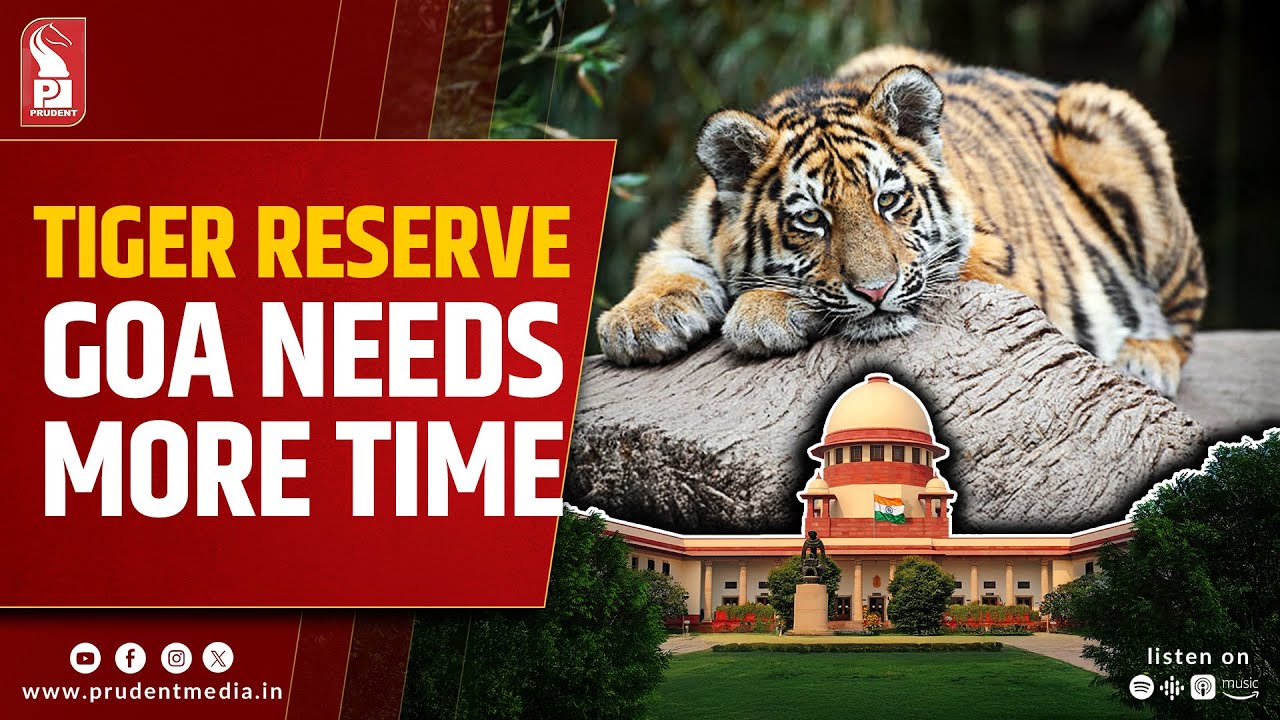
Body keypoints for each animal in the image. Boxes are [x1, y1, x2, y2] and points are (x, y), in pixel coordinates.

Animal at [596, 45, 1206, 398]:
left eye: (888, 201)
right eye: (812, 219)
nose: (876, 291)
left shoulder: (997, 266)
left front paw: (761, 310)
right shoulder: (688, 231)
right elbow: (664, 265)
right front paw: (636, 322)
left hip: (1111, 124)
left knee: (1183, 322)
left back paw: (1144, 360)